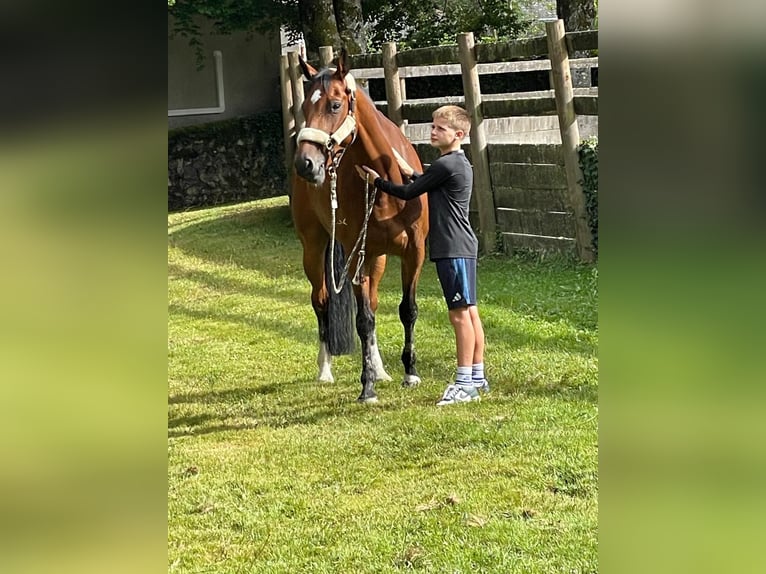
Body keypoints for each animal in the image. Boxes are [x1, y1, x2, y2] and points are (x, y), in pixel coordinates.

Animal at [290, 49, 429, 403]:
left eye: (335, 105)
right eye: (304, 107)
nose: (306, 164)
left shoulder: (414, 254)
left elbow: (407, 310)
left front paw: (410, 372)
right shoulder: (357, 261)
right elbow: (363, 320)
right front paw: (366, 387)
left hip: (377, 258)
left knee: (375, 305)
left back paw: (380, 368)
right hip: (313, 250)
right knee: (321, 301)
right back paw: (325, 369)